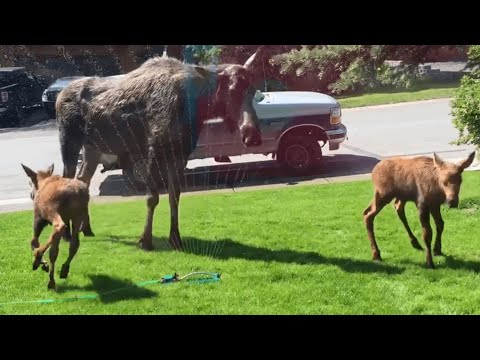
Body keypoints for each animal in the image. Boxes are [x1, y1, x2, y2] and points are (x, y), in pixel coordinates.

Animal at [58, 47, 266, 250]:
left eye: (253, 90)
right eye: (231, 90)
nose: (253, 135)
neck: (194, 107)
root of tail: (59, 95)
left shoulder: (179, 154)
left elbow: (175, 196)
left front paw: (175, 238)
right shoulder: (153, 151)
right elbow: (153, 198)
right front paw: (145, 240)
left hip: (92, 148)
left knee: (82, 180)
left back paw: (86, 228)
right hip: (68, 141)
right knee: (66, 178)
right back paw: (67, 234)